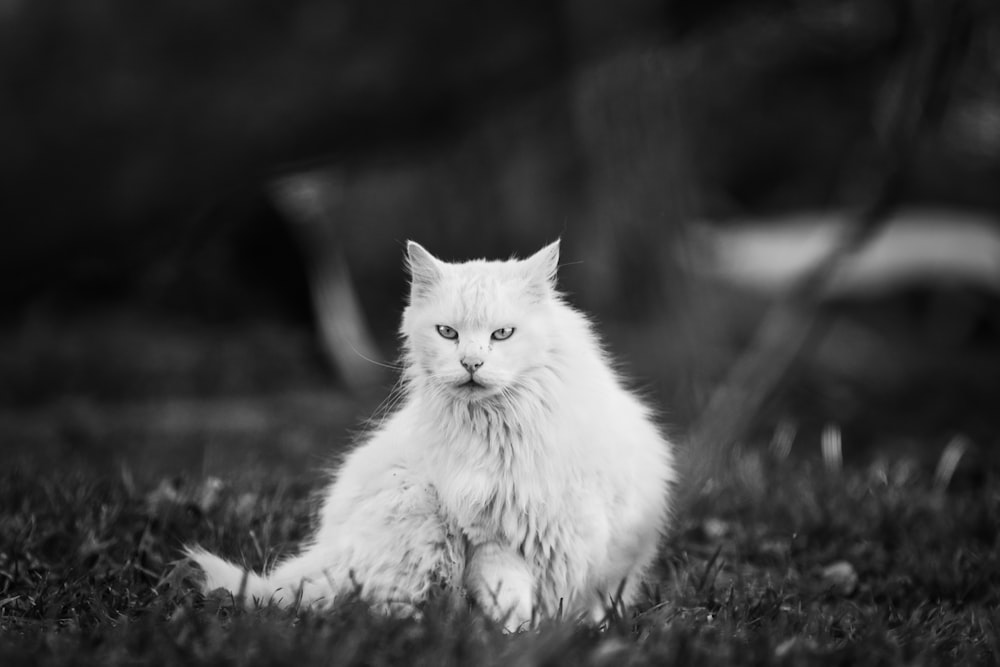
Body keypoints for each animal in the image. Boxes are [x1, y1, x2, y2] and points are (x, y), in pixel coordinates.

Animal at [188, 240, 676, 632]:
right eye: (448, 333)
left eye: (502, 334)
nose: (471, 364)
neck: (506, 434)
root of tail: (322, 553)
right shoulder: (495, 544)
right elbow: (513, 606)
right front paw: (519, 642)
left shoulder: (605, 547)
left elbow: (595, 606)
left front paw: (585, 638)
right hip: (416, 514)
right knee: (384, 609)